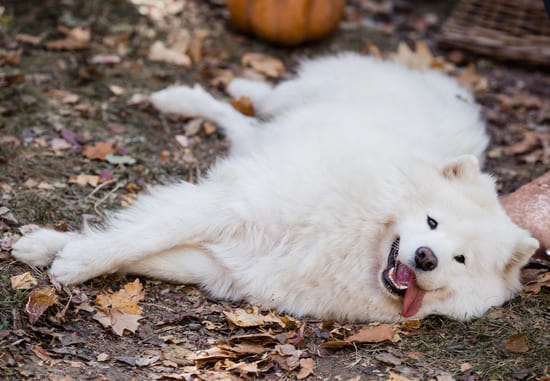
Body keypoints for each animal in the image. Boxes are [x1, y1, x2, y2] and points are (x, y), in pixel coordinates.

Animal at [11, 53, 540, 320]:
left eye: (460, 260)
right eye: (431, 221)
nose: (426, 257)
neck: (353, 234)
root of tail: (445, 86)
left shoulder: (227, 265)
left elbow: (142, 253)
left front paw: (51, 249)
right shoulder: (228, 204)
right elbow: (136, 237)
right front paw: (71, 260)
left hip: (261, 142)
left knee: (241, 125)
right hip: (297, 95)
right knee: (257, 100)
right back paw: (203, 92)